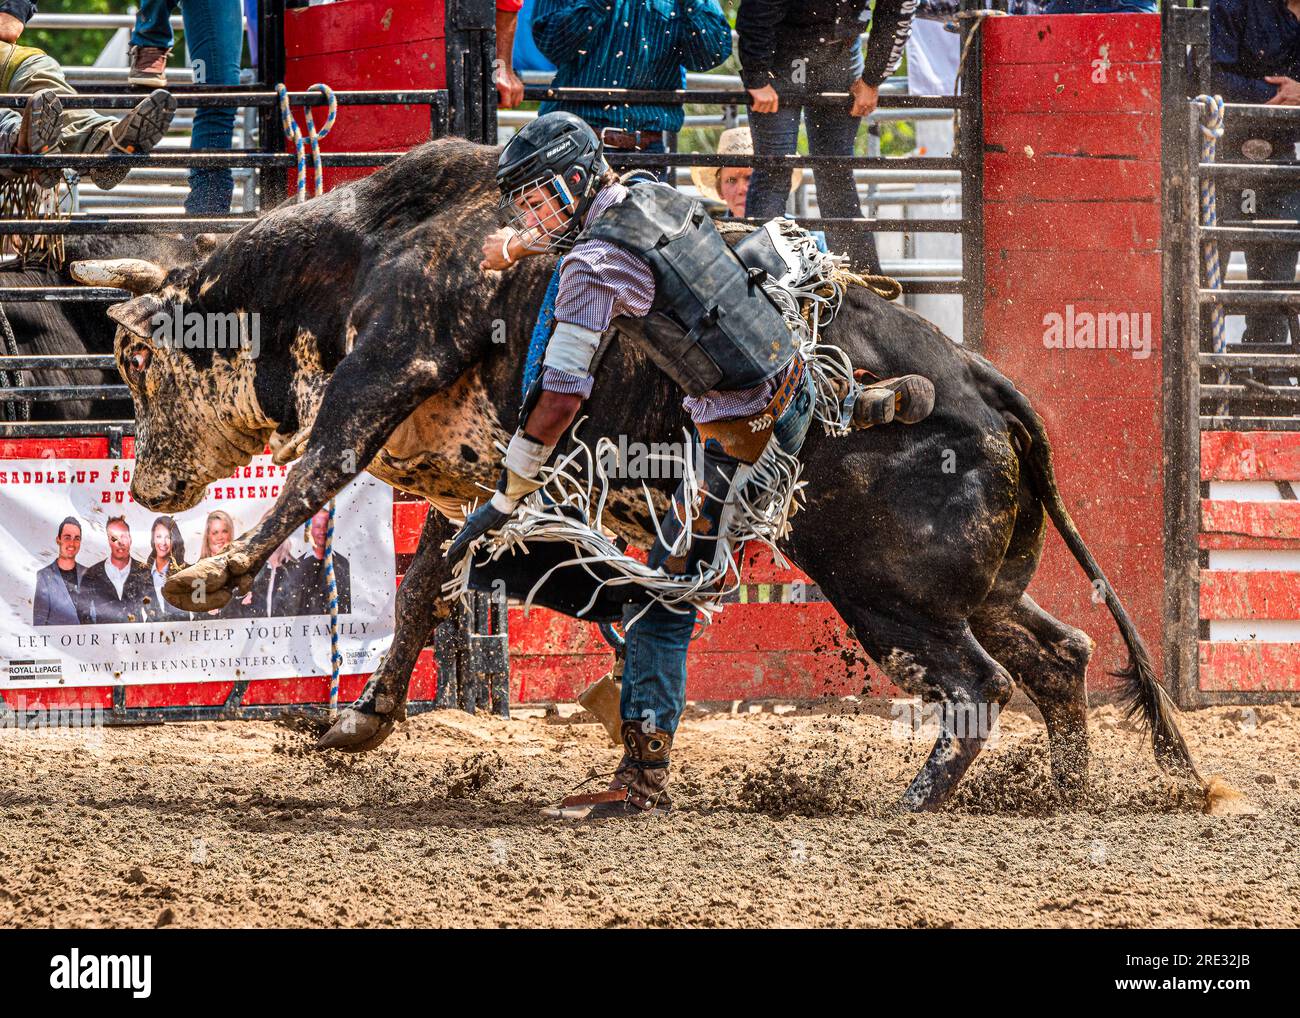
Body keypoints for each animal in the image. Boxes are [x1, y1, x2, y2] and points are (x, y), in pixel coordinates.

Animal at [68, 139, 1206, 811]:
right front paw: (361, 720)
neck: (359, 250)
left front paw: (206, 579)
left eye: (134, 357)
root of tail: (975, 379)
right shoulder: (475, 483)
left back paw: (915, 802)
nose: (148, 490)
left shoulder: (392, 360)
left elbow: (318, 470)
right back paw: (1064, 792)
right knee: (1058, 656)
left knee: (977, 683)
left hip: (884, 583)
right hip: (974, 584)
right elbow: (431, 574)